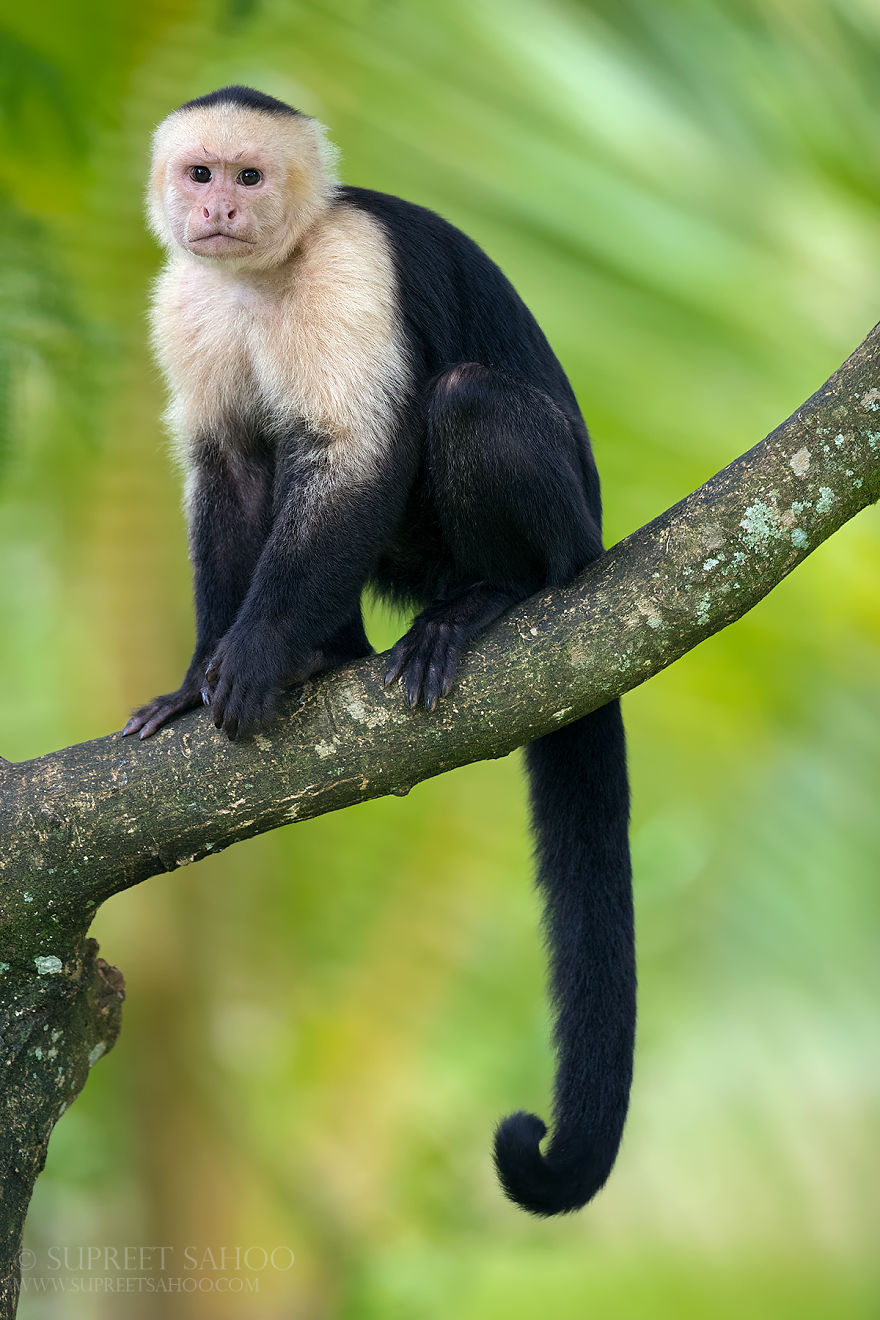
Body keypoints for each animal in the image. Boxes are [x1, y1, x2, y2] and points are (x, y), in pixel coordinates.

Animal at [124, 85, 633, 1214]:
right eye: (199, 173)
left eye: (250, 175)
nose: (218, 210)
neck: (265, 274)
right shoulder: (184, 300)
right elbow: (229, 465)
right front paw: (199, 678)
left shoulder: (352, 266)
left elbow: (355, 453)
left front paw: (256, 655)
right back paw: (334, 651)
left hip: (568, 531)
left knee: (463, 399)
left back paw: (491, 598)